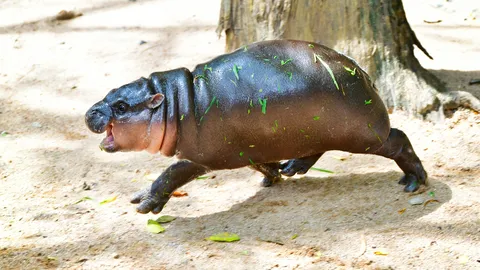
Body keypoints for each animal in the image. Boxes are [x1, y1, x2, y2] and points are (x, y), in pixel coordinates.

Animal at [84, 40, 426, 214]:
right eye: (111, 93)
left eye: (122, 107)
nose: (90, 112)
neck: (175, 103)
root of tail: (363, 72)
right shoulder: (248, 149)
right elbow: (260, 164)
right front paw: (273, 175)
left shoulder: (198, 157)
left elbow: (171, 173)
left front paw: (144, 203)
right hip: (314, 130)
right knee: (314, 149)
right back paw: (292, 167)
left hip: (365, 136)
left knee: (399, 139)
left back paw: (413, 182)